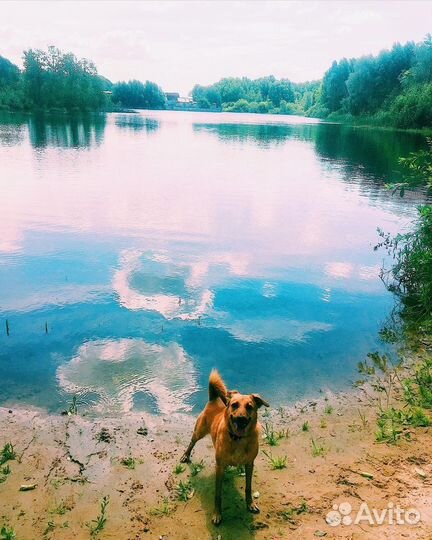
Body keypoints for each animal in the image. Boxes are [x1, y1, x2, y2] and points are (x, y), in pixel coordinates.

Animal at [180, 370, 268, 524]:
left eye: (250, 407)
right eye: (234, 405)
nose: (241, 419)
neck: (238, 440)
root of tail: (214, 400)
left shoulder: (250, 464)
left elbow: (248, 487)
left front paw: (250, 504)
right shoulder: (219, 467)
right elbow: (218, 494)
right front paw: (217, 514)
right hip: (199, 431)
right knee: (192, 442)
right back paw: (186, 455)